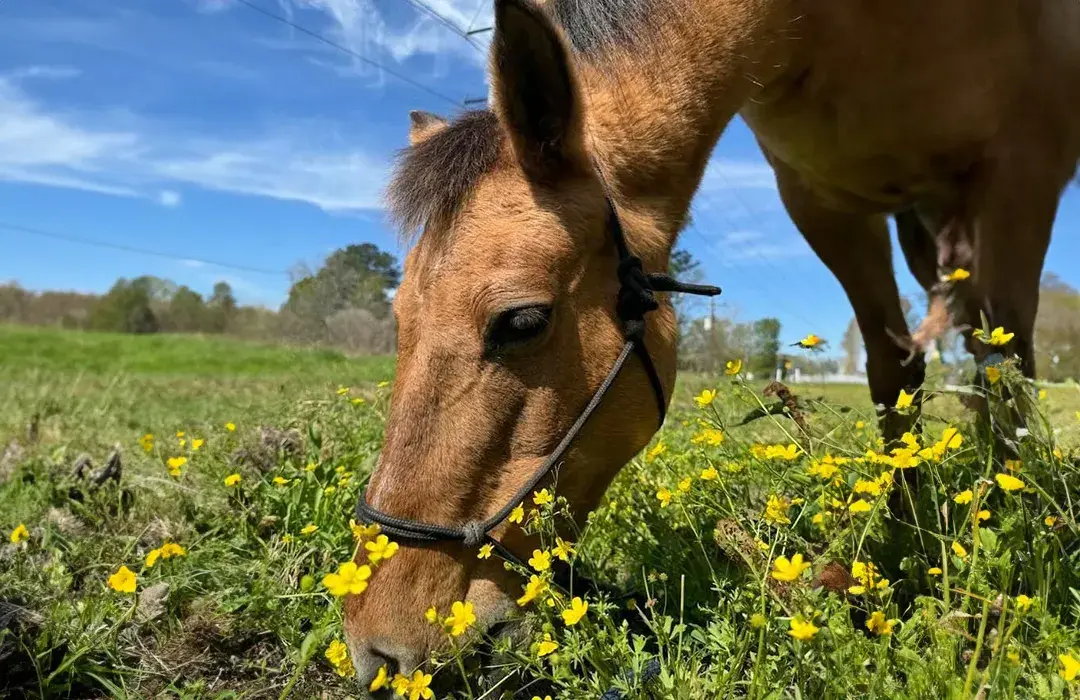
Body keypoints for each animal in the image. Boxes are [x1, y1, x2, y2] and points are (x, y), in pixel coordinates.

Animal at [344, 0, 1080, 689]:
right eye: (400, 316)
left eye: (523, 322)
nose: (379, 651)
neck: (845, 28)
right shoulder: (825, 203)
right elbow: (895, 366)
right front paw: (905, 527)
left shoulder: (1020, 177)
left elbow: (1010, 366)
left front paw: (1017, 528)